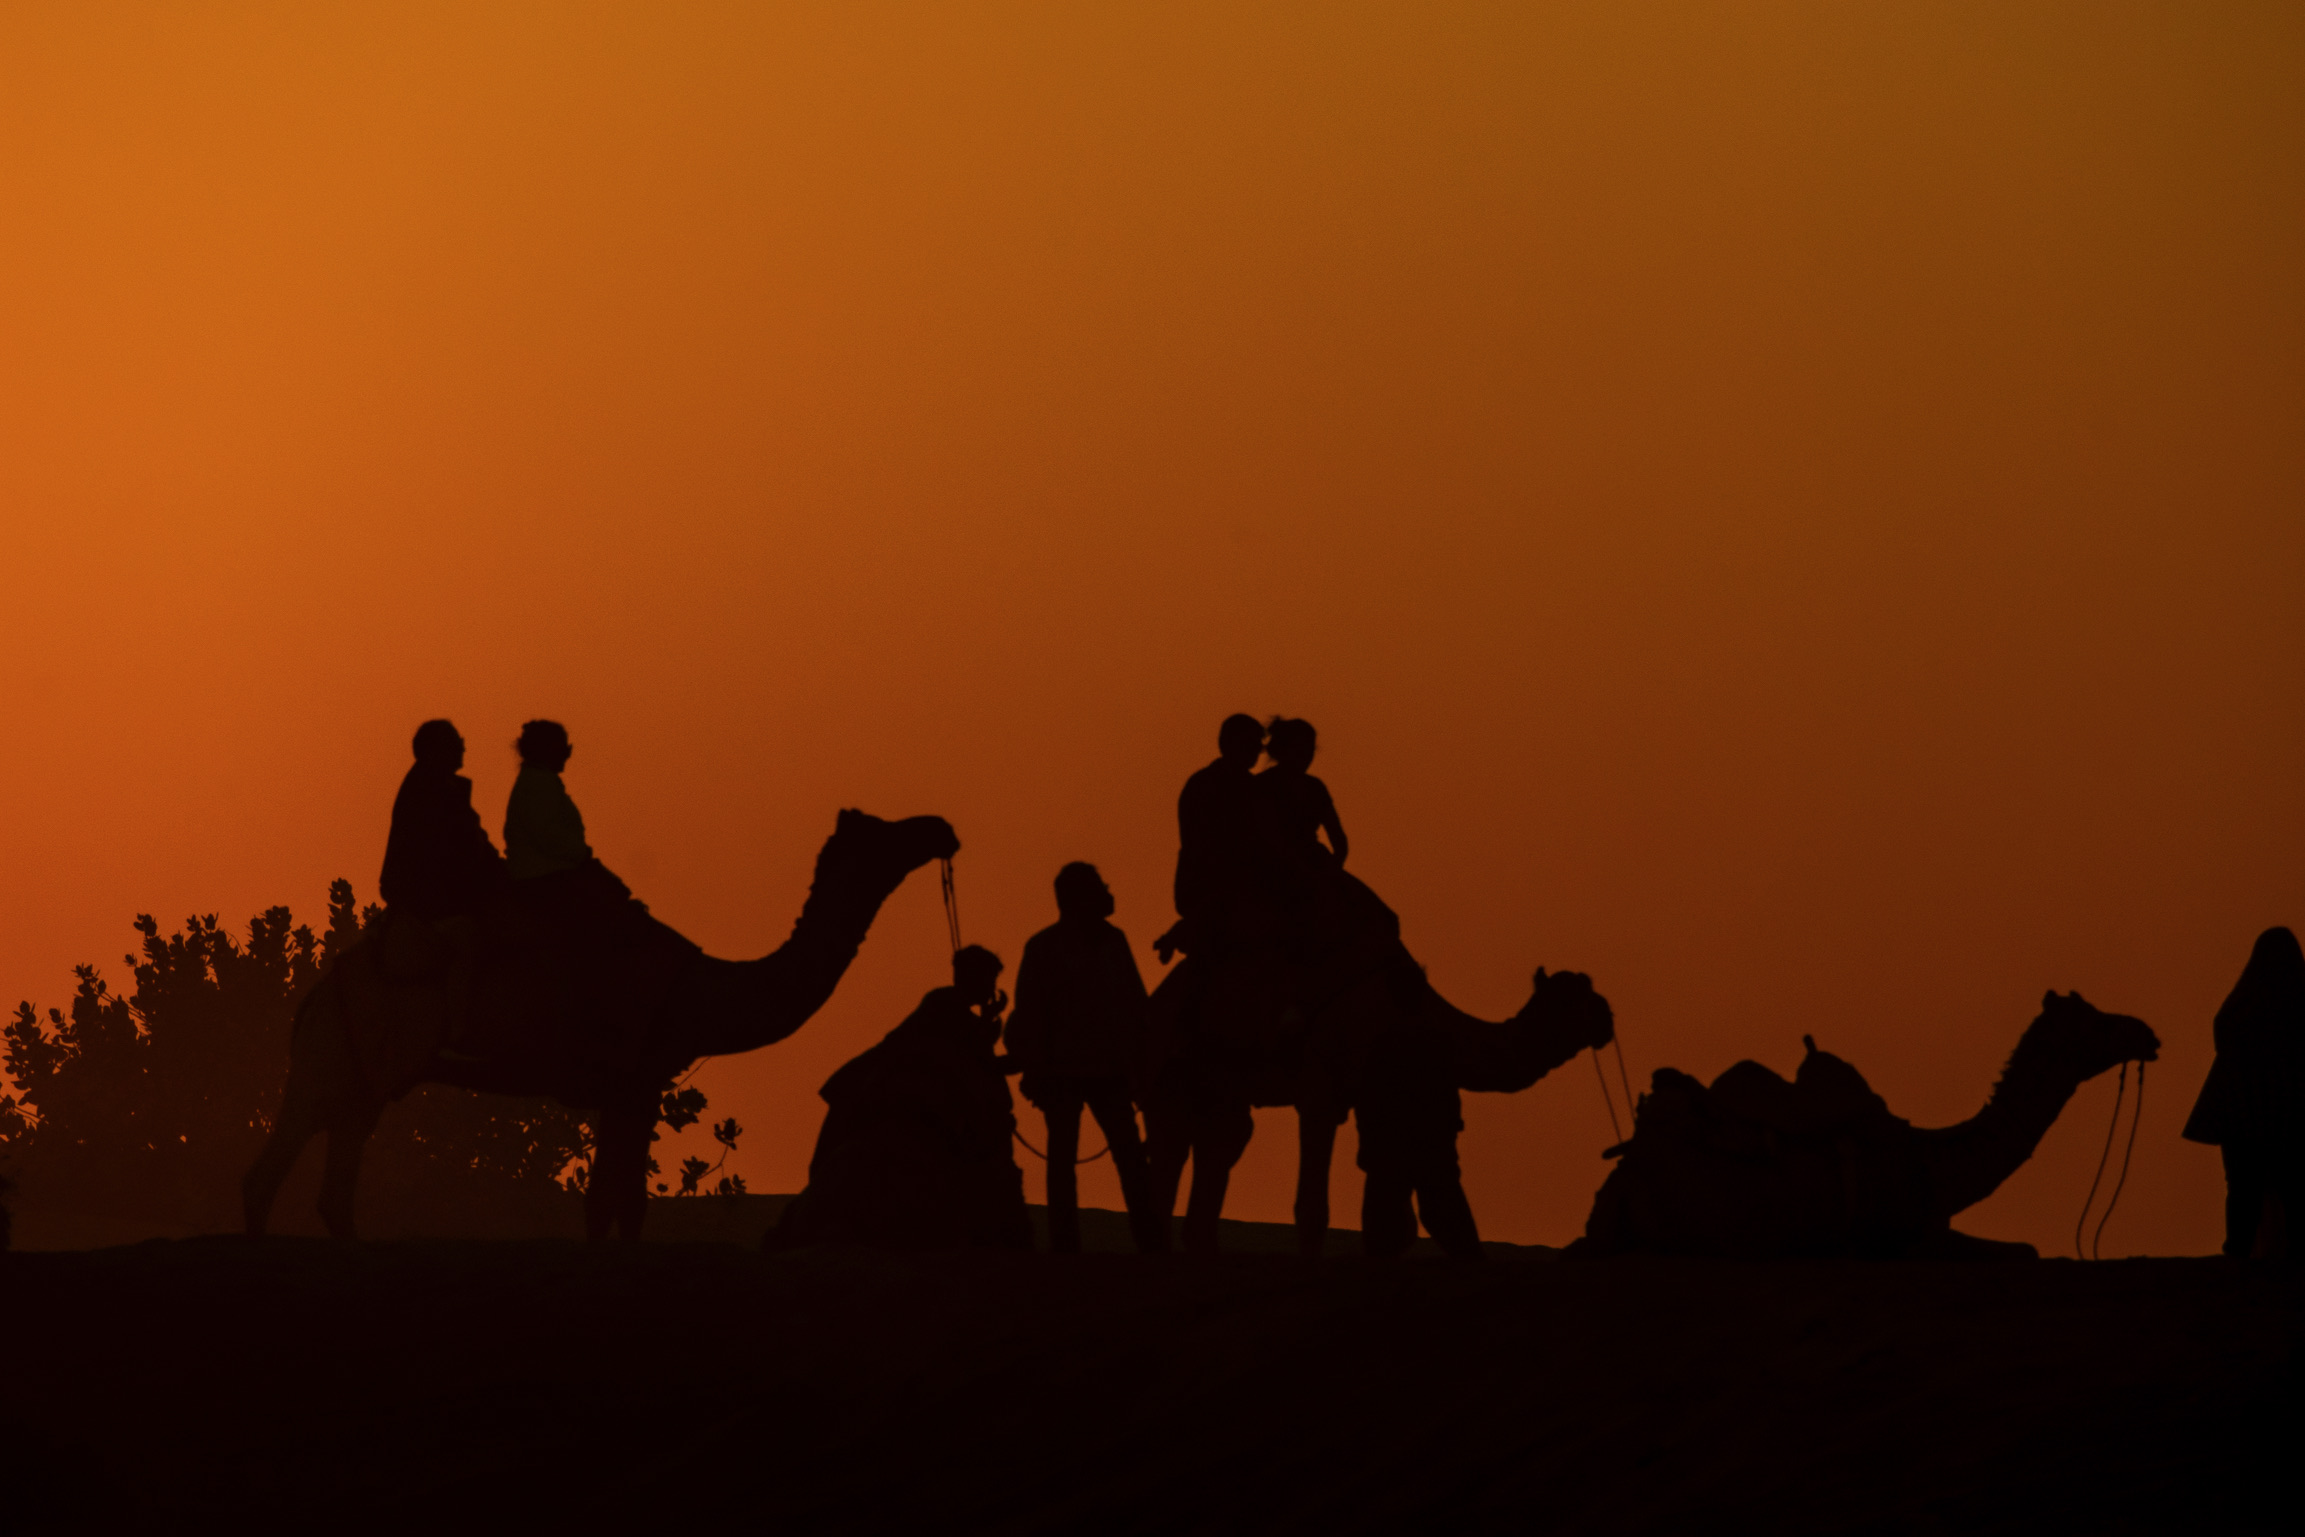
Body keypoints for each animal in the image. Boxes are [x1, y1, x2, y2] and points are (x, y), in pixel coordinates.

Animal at [1576, 990, 2148, 1253]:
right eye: (2093, 1021)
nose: (2147, 1033)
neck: (1934, 1163)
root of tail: (1622, 1177)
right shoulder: (1909, 1237)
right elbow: (2026, 1249)